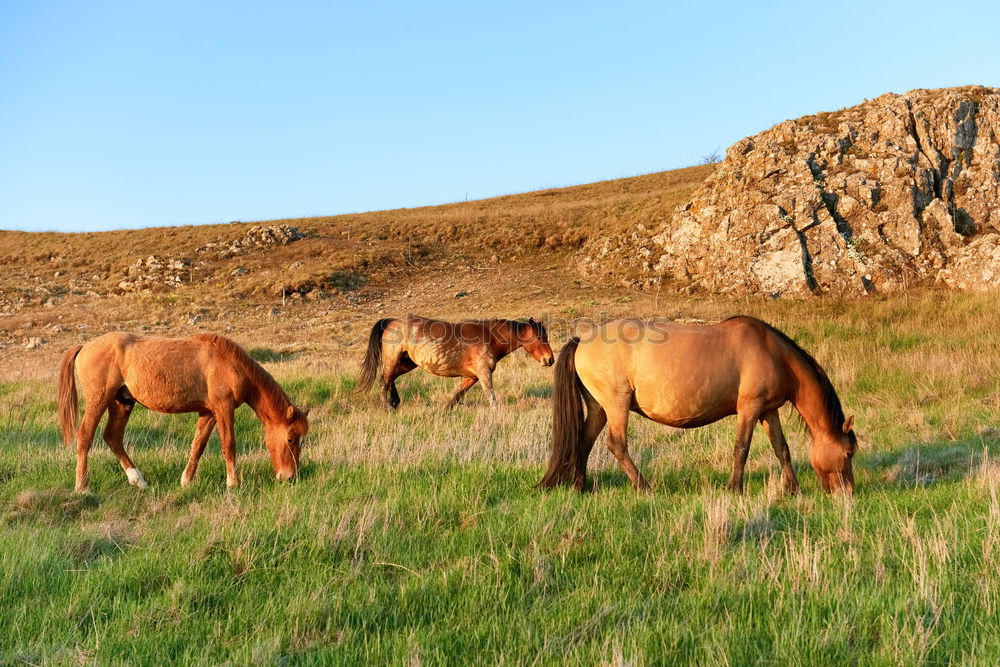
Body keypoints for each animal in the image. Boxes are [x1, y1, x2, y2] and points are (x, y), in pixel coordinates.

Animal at [58, 332, 308, 494]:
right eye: (290, 439)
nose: (289, 477)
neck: (229, 363)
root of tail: (84, 346)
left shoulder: (208, 412)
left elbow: (198, 446)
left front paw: (186, 481)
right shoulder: (224, 408)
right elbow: (229, 445)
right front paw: (233, 484)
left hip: (122, 403)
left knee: (113, 437)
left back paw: (138, 480)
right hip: (99, 400)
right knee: (85, 437)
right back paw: (82, 487)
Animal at [358, 314, 556, 412]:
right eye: (540, 337)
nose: (550, 359)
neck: (489, 337)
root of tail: (392, 322)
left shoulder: (471, 377)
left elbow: (456, 396)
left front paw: (445, 411)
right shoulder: (484, 375)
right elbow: (491, 397)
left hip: (406, 363)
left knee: (390, 379)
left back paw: (394, 403)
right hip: (393, 361)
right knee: (384, 381)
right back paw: (387, 407)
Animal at [544, 318, 856, 496]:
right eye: (849, 453)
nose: (848, 492)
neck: (774, 353)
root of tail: (582, 340)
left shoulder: (768, 410)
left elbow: (782, 448)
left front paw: (793, 489)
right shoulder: (750, 408)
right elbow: (741, 449)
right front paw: (734, 488)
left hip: (599, 408)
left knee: (585, 441)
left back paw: (580, 486)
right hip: (616, 405)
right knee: (616, 445)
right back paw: (644, 487)